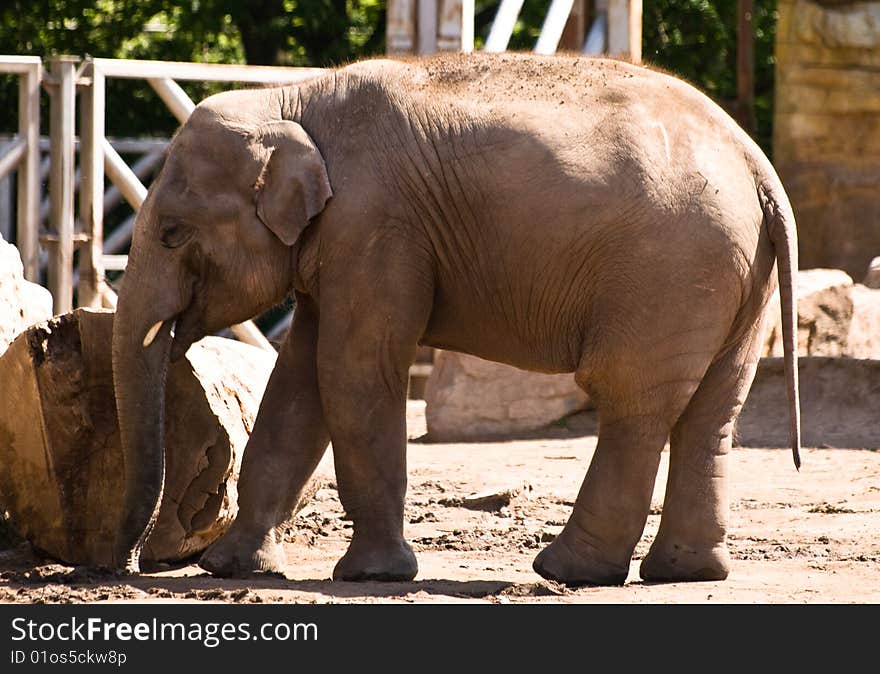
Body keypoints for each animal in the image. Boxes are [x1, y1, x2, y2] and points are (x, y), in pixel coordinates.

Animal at [113, 52, 800, 584]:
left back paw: (566, 572)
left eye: (172, 233)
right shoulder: (340, 245)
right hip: (736, 280)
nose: (134, 565)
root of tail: (757, 163)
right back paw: (686, 572)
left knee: (632, 401)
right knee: (712, 410)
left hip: (669, 272)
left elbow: (352, 372)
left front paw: (372, 575)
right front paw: (230, 568)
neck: (290, 100)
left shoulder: (375, 225)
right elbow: (297, 384)